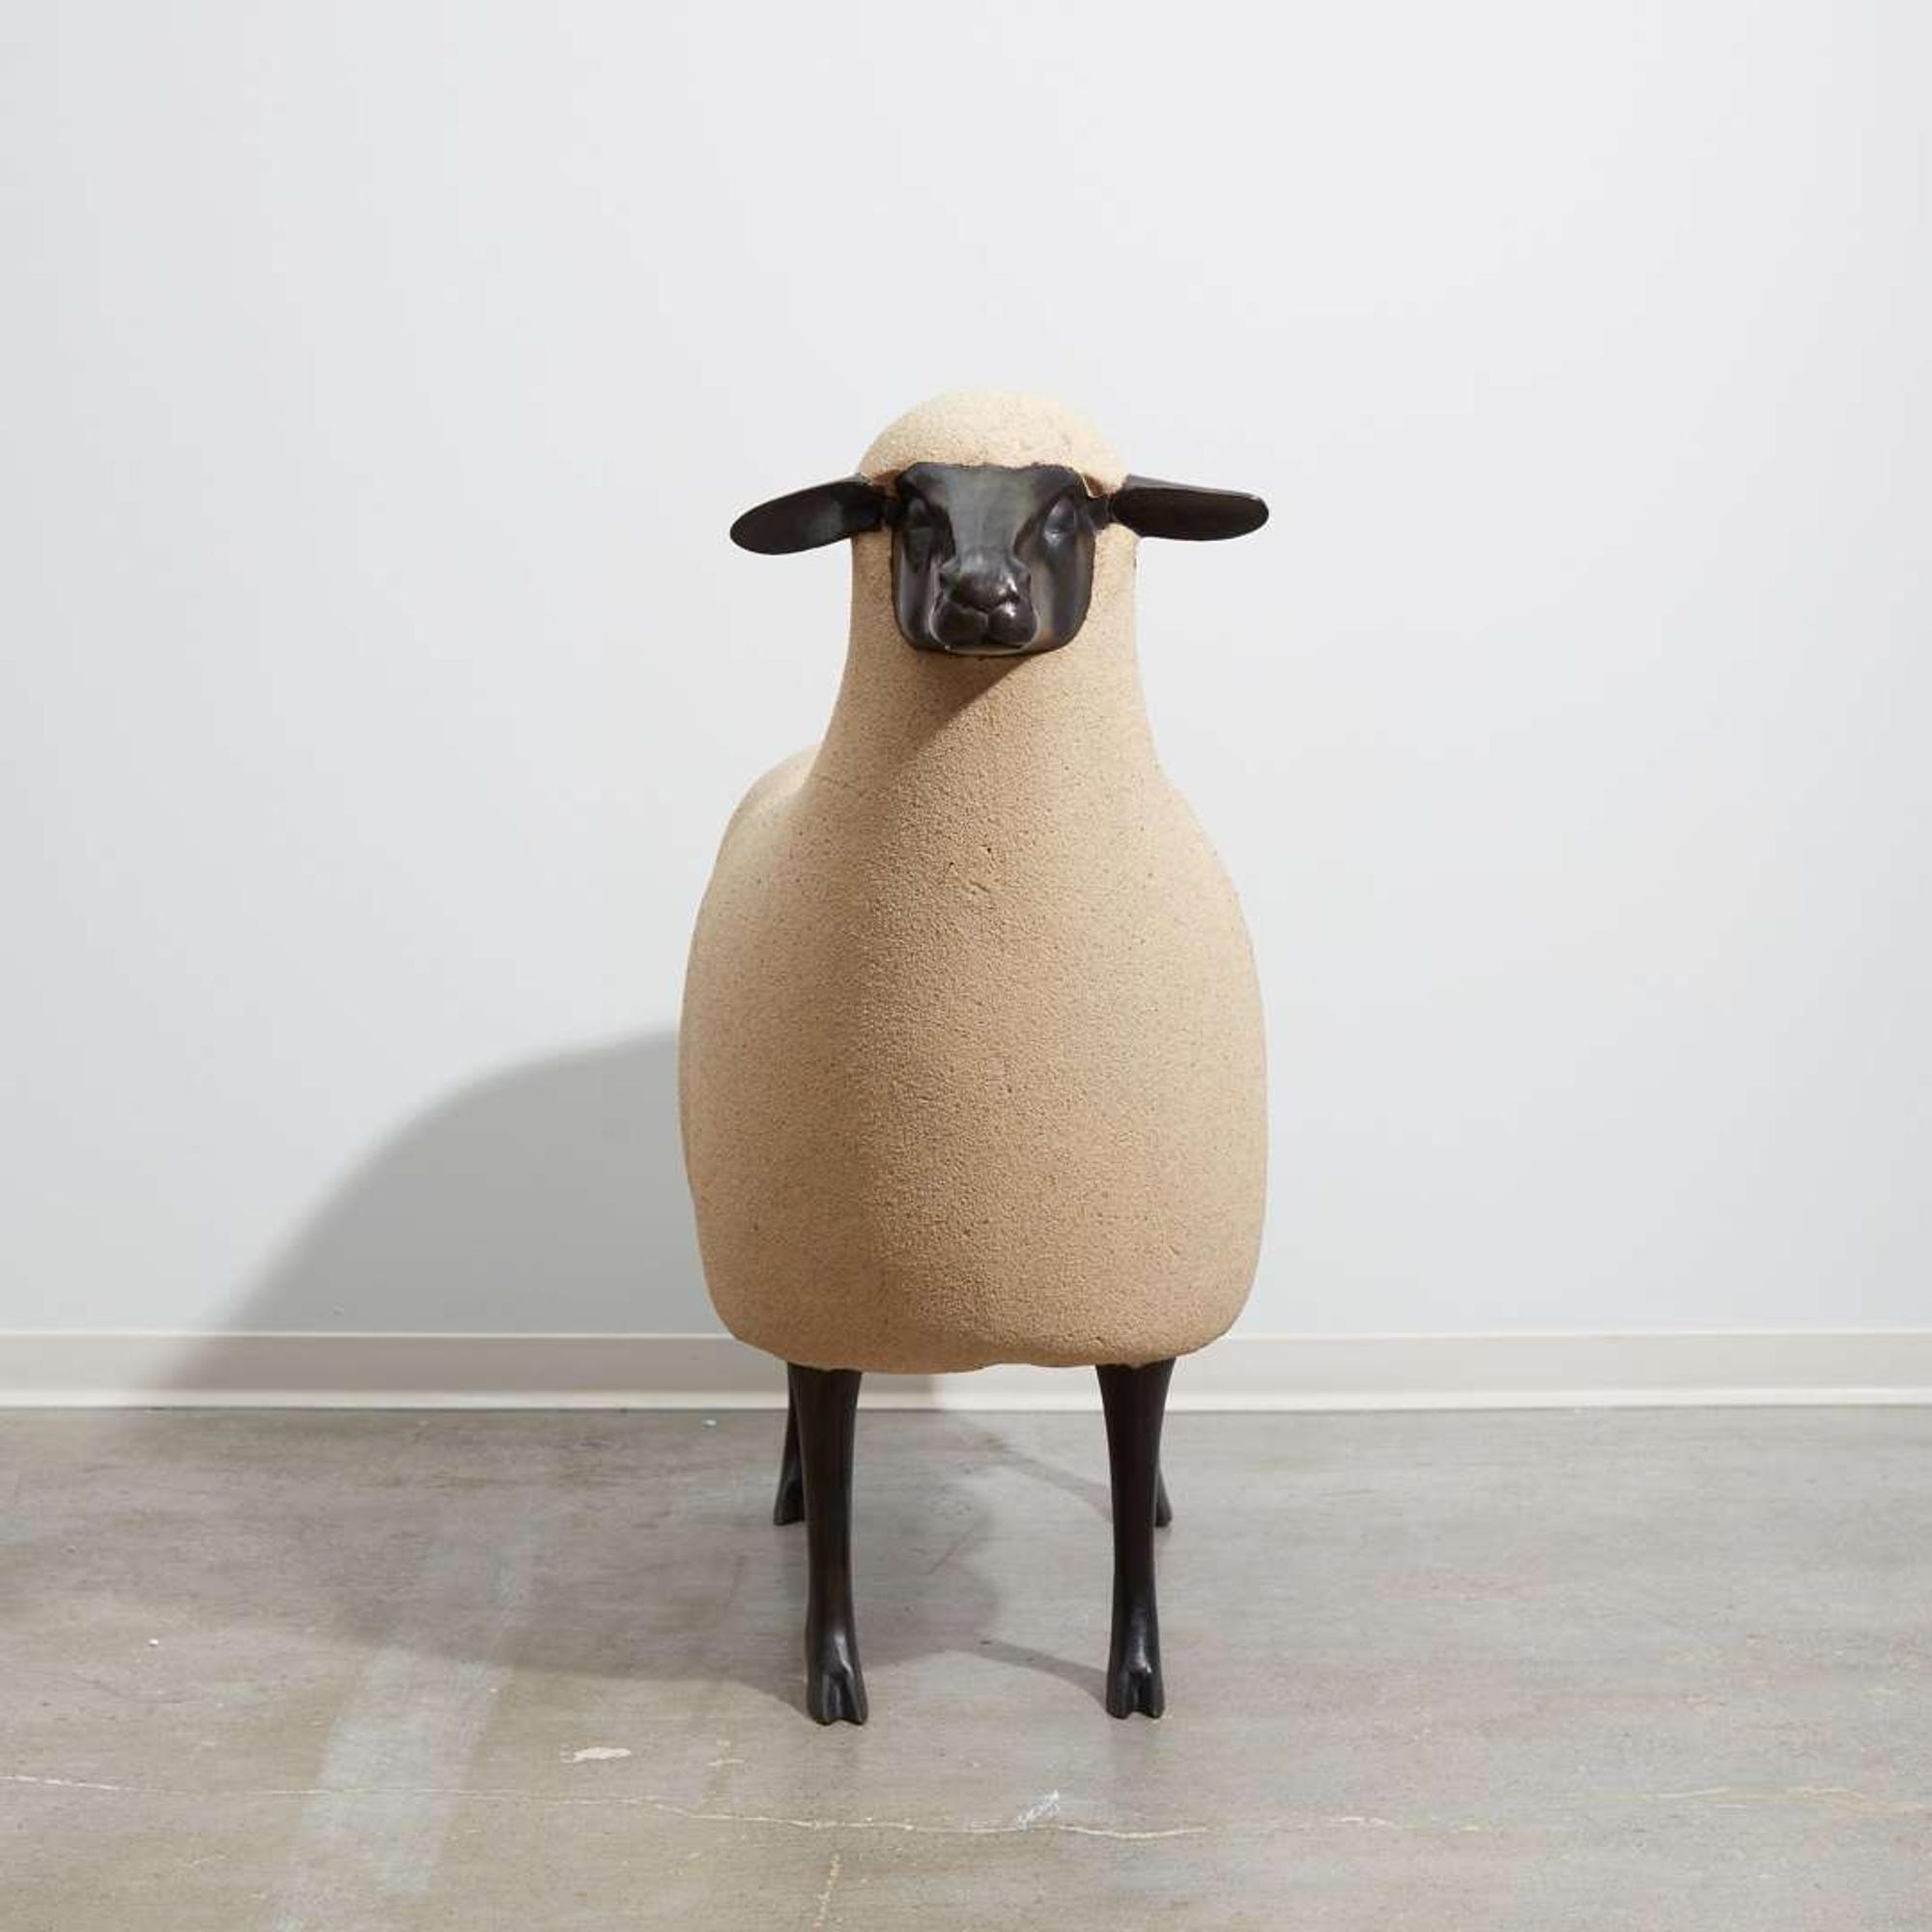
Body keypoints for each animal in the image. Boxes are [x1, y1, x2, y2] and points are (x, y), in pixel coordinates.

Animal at [680, 391, 1268, 1723]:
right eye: (905, 505)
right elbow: (833, 1458)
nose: (980, 595)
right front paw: (831, 1674)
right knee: (799, 1421)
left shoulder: (1131, 1279)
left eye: (1076, 507)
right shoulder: (825, 1280)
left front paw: (1136, 1672)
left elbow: (1132, 1437)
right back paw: (787, 1497)